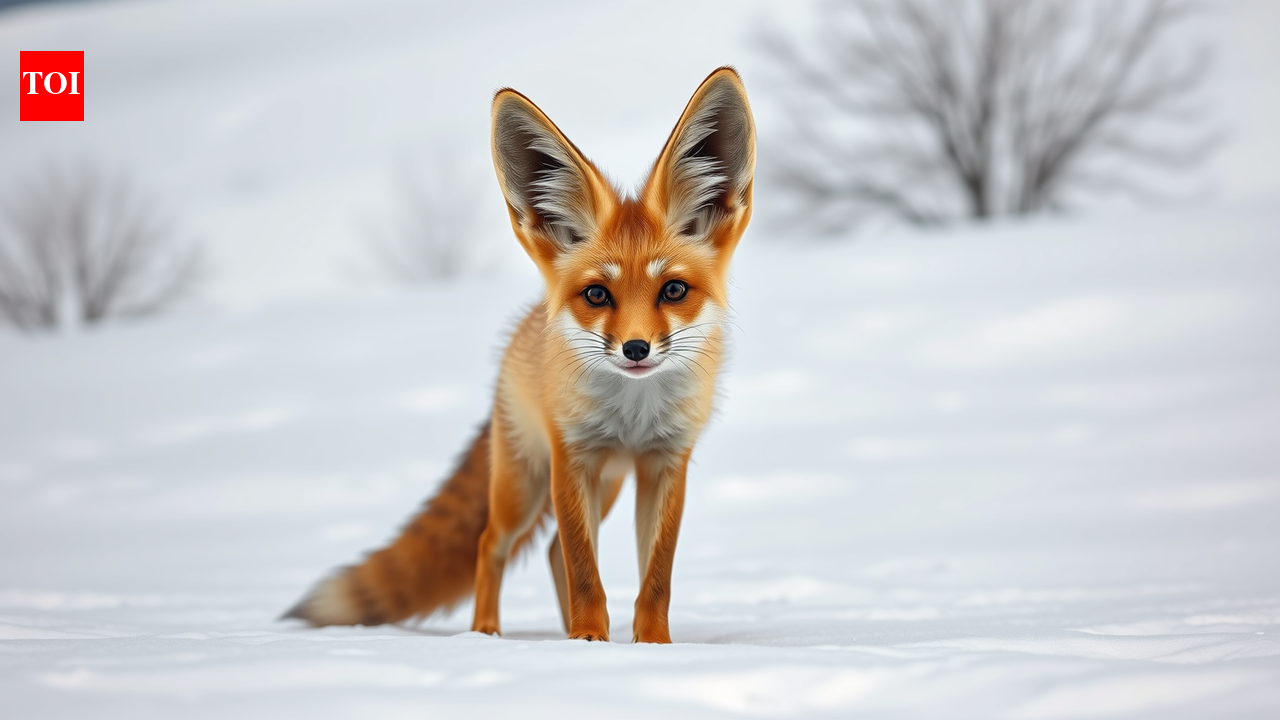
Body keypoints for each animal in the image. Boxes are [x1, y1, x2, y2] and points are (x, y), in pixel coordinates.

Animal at [283, 67, 755, 643]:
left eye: (673, 291)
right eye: (597, 295)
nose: (636, 348)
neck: (634, 414)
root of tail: (521, 330)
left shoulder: (666, 462)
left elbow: (655, 579)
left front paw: (650, 646)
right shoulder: (572, 457)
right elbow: (584, 570)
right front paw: (589, 642)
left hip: (608, 483)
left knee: (550, 551)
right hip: (525, 484)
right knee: (494, 544)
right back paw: (487, 634)